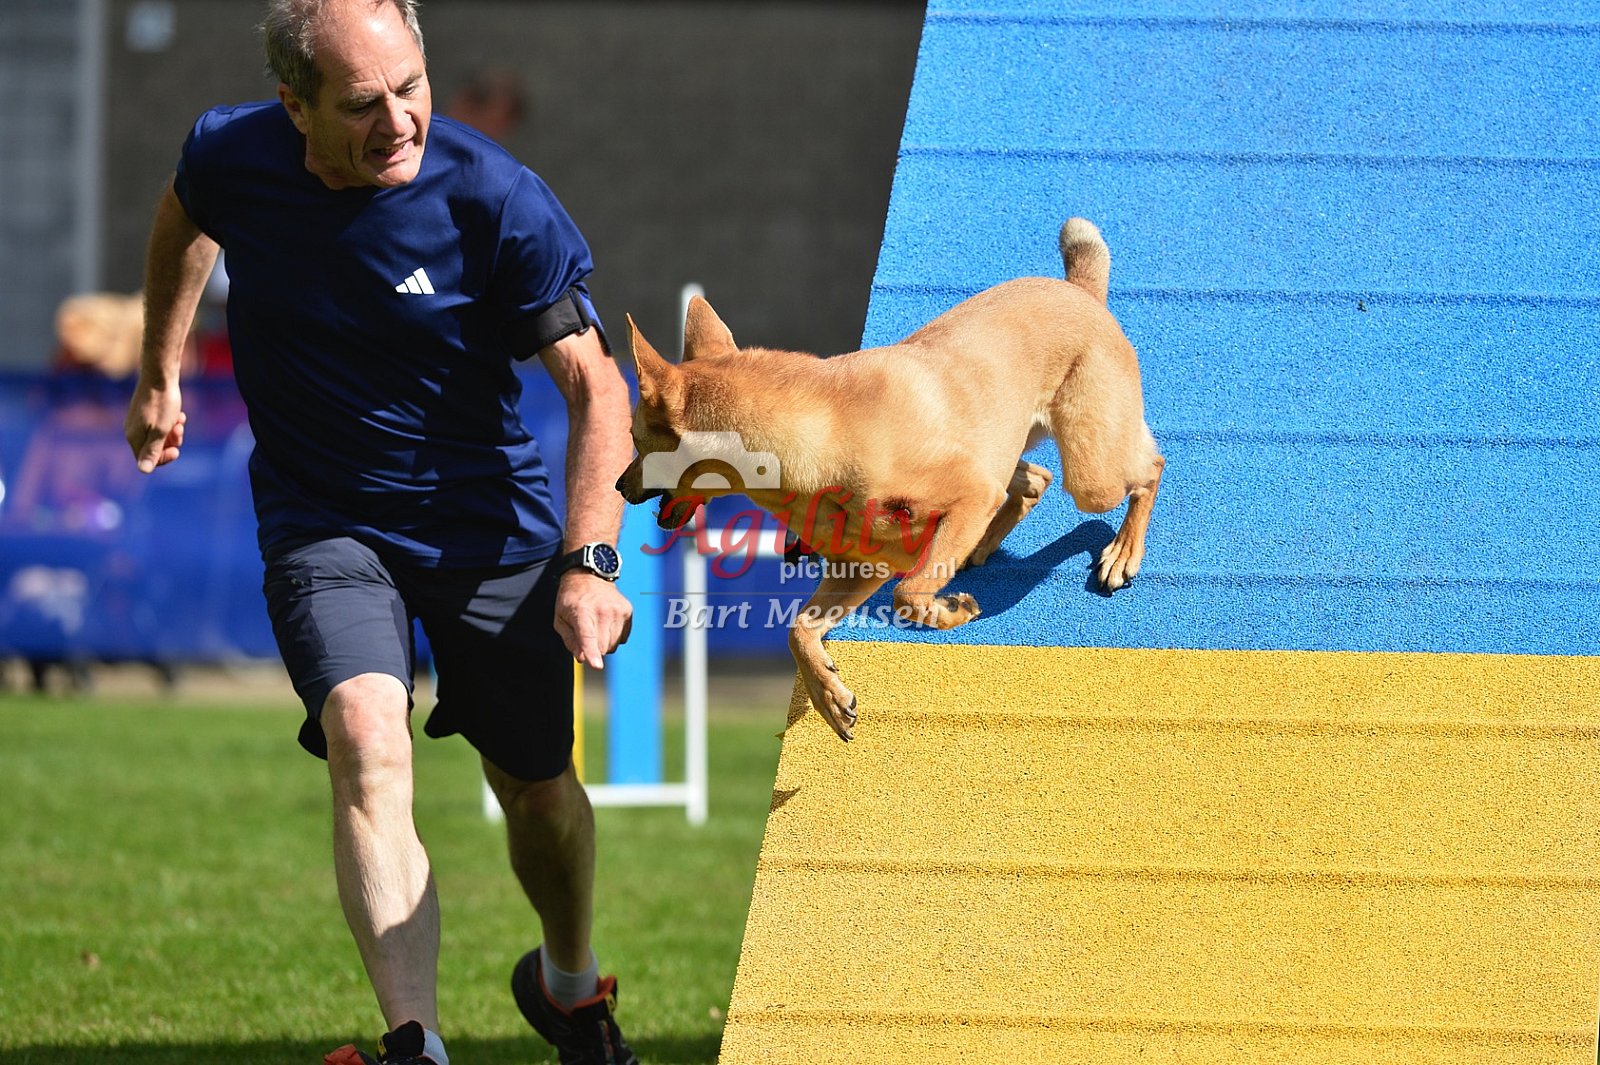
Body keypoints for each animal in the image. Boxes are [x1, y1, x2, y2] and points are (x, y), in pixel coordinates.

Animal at [616, 219, 1164, 741]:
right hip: (1011, 446)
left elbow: (908, 594)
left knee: (1147, 469)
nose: (620, 486)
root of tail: (1080, 291)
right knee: (1034, 479)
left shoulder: (967, 496)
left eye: (635, 438)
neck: (819, 441)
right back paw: (983, 544)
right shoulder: (863, 567)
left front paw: (953, 612)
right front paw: (830, 698)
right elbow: (798, 628)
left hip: (1091, 473)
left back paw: (1121, 553)